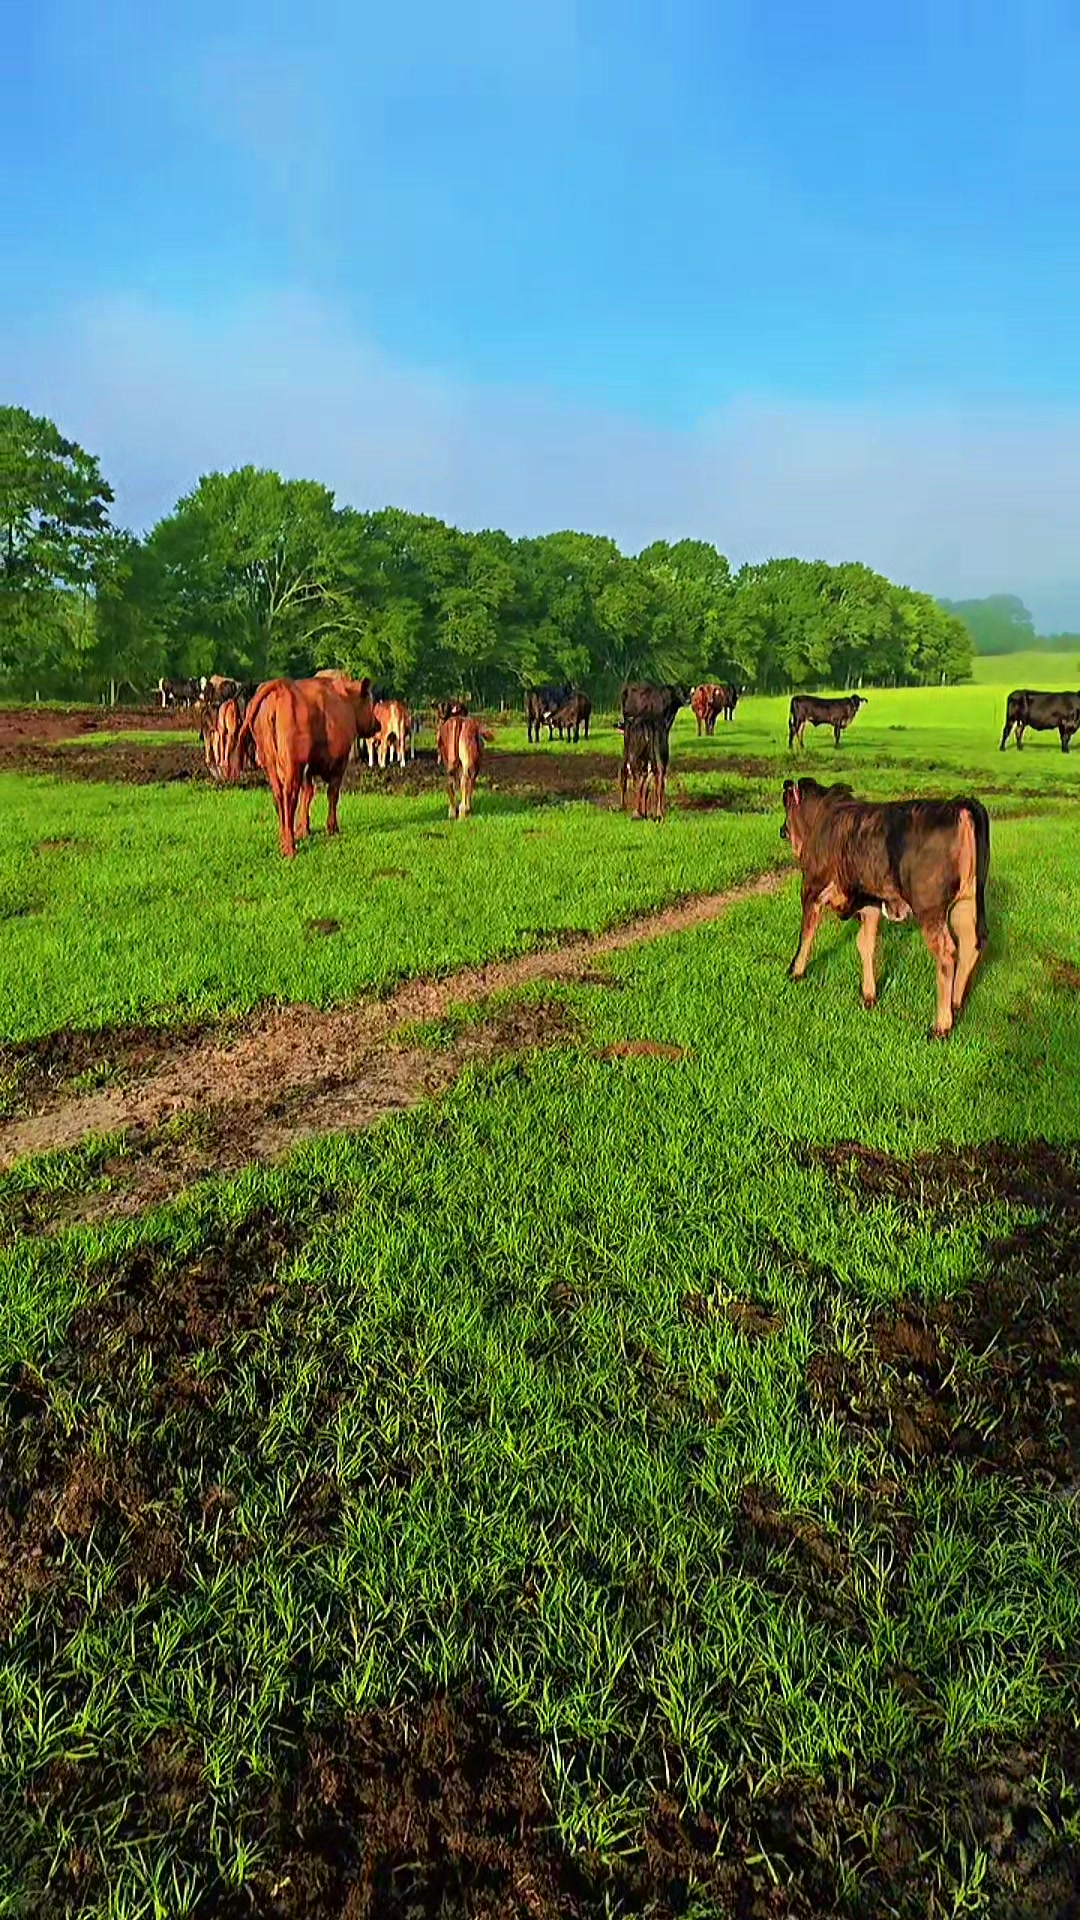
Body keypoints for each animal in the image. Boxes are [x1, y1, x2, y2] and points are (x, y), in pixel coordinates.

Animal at [229, 675, 378, 857]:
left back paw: (284, 839)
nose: (377, 724)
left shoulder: (308, 767)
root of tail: (281, 685)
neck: (345, 699)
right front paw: (332, 828)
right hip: (293, 763)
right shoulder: (339, 763)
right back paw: (290, 847)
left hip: (270, 762)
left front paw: (303, 830)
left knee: (278, 796)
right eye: (370, 701)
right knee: (290, 797)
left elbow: (308, 794)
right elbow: (332, 794)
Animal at [780, 777, 990, 1039]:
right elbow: (865, 944)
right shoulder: (870, 901)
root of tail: (958, 804)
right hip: (967, 902)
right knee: (972, 943)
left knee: (946, 952)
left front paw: (795, 972)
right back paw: (956, 1004)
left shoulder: (811, 886)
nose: (782, 830)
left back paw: (941, 1026)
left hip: (930, 908)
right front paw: (869, 995)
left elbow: (806, 934)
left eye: (786, 804)